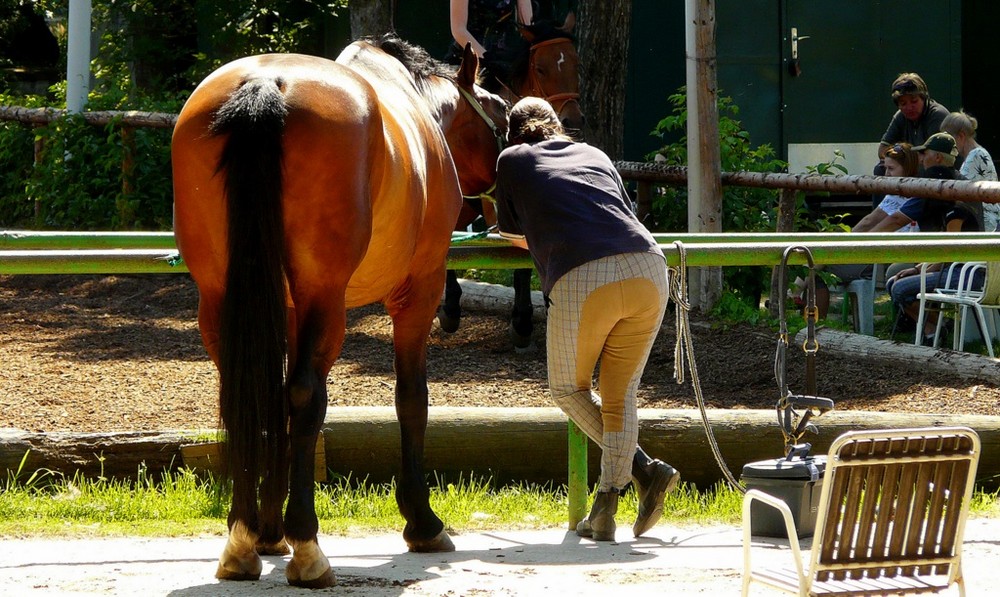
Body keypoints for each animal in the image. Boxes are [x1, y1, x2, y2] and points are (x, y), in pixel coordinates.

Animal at [170, 35, 508, 588]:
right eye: (500, 113)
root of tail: (265, 84)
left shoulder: (285, 308)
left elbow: (273, 406)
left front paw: (270, 532)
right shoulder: (419, 291)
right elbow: (411, 398)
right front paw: (422, 522)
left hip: (221, 298)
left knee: (249, 395)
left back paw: (244, 540)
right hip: (327, 300)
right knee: (306, 395)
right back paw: (308, 550)